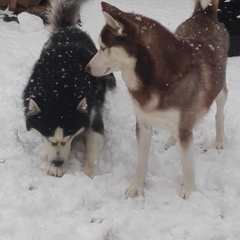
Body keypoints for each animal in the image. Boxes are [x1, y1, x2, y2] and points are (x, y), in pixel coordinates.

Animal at [22, 0, 116, 178]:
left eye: (68, 138)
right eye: (51, 139)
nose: (57, 162)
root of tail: (68, 28)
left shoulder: (92, 114)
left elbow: (95, 138)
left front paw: (89, 170)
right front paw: (53, 167)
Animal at [86, 0, 229, 199]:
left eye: (103, 47)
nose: (86, 68)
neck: (154, 78)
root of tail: (204, 14)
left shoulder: (185, 129)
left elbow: (187, 165)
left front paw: (190, 190)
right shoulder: (143, 123)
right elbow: (141, 161)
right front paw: (137, 186)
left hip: (221, 91)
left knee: (219, 113)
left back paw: (220, 139)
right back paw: (170, 140)